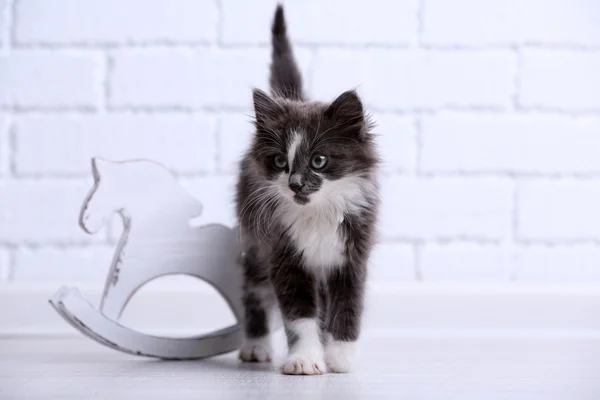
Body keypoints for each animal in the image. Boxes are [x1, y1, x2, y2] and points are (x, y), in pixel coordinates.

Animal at [234, 4, 380, 376]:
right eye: (279, 162)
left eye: (319, 161)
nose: (295, 184)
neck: (316, 215)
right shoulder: (282, 253)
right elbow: (299, 316)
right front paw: (304, 360)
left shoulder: (352, 254)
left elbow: (347, 306)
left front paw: (340, 358)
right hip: (254, 241)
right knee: (255, 291)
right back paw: (256, 346)